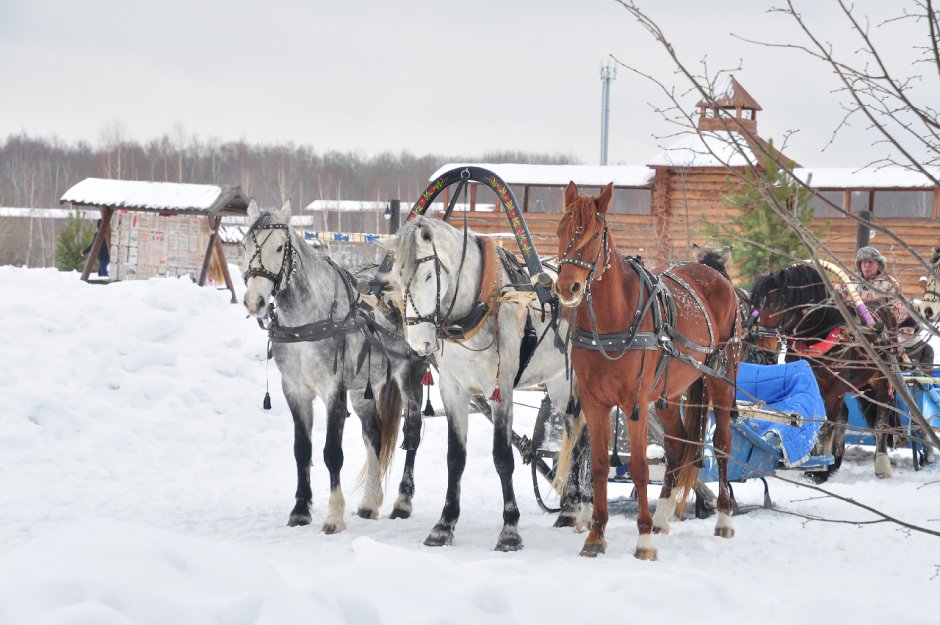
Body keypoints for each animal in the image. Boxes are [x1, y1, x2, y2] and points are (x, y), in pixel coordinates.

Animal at [242, 200, 426, 532]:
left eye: (279, 247)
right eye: (245, 245)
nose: (255, 302)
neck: (306, 321)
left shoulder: (333, 390)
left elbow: (332, 453)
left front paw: (334, 516)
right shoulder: (295, 390)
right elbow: (302, 450)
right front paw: (300, 510)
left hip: (410, 376)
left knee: (413, 434)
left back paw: (402, 502)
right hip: (363, 388)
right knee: (374, 433)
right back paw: (369, 502)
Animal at [384, 216, 592, 552]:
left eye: (428, 275)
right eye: (397, 278)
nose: (418, 342)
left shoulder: (500, 390)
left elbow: (502, 457)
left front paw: (510, 530)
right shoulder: (453, 391)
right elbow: (455, 458)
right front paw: (444, 525)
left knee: (586, 439)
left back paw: (582, 505)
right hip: (559, 384)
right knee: (575, 436)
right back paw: (570, 508)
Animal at [552, 182, 740, 560]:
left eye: (594, 235)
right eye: (562, 230)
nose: (567, 288)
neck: (613, 318)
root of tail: (716, 276)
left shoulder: (634, 403)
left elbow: (639, 468)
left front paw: (643, 540)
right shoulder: (595, 403)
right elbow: (598, 467)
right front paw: (595, 535)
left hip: (721, 379)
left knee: (722, 444)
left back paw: (724, 518)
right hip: (668, 392)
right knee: (677, 446)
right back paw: (663, 516)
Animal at [752, 262, 900, 478]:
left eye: (775, 304)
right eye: (755, 305)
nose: (762, 344)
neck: (818, 335)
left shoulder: (834, 390)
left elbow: (826, 425)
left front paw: (819, 471)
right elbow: (813, 420)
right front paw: (816, 462)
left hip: (881, 381)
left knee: (881, 419)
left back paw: (881, 463)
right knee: (844, 414)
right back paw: (835, 460)